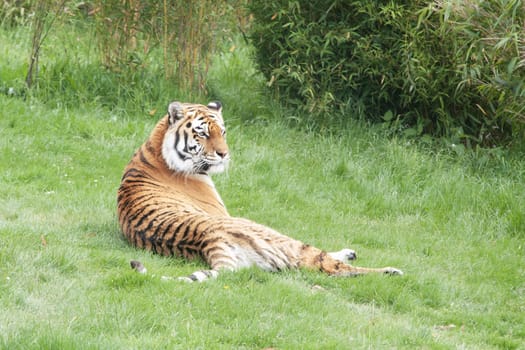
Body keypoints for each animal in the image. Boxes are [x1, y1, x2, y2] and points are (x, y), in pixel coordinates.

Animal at [115, 100, 402, 282]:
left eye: (223, 131)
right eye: (203, 134)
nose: (225, 154)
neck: (157, 148)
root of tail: (208, 240)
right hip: (276, 236)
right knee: (328, 266)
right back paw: (391, 272)